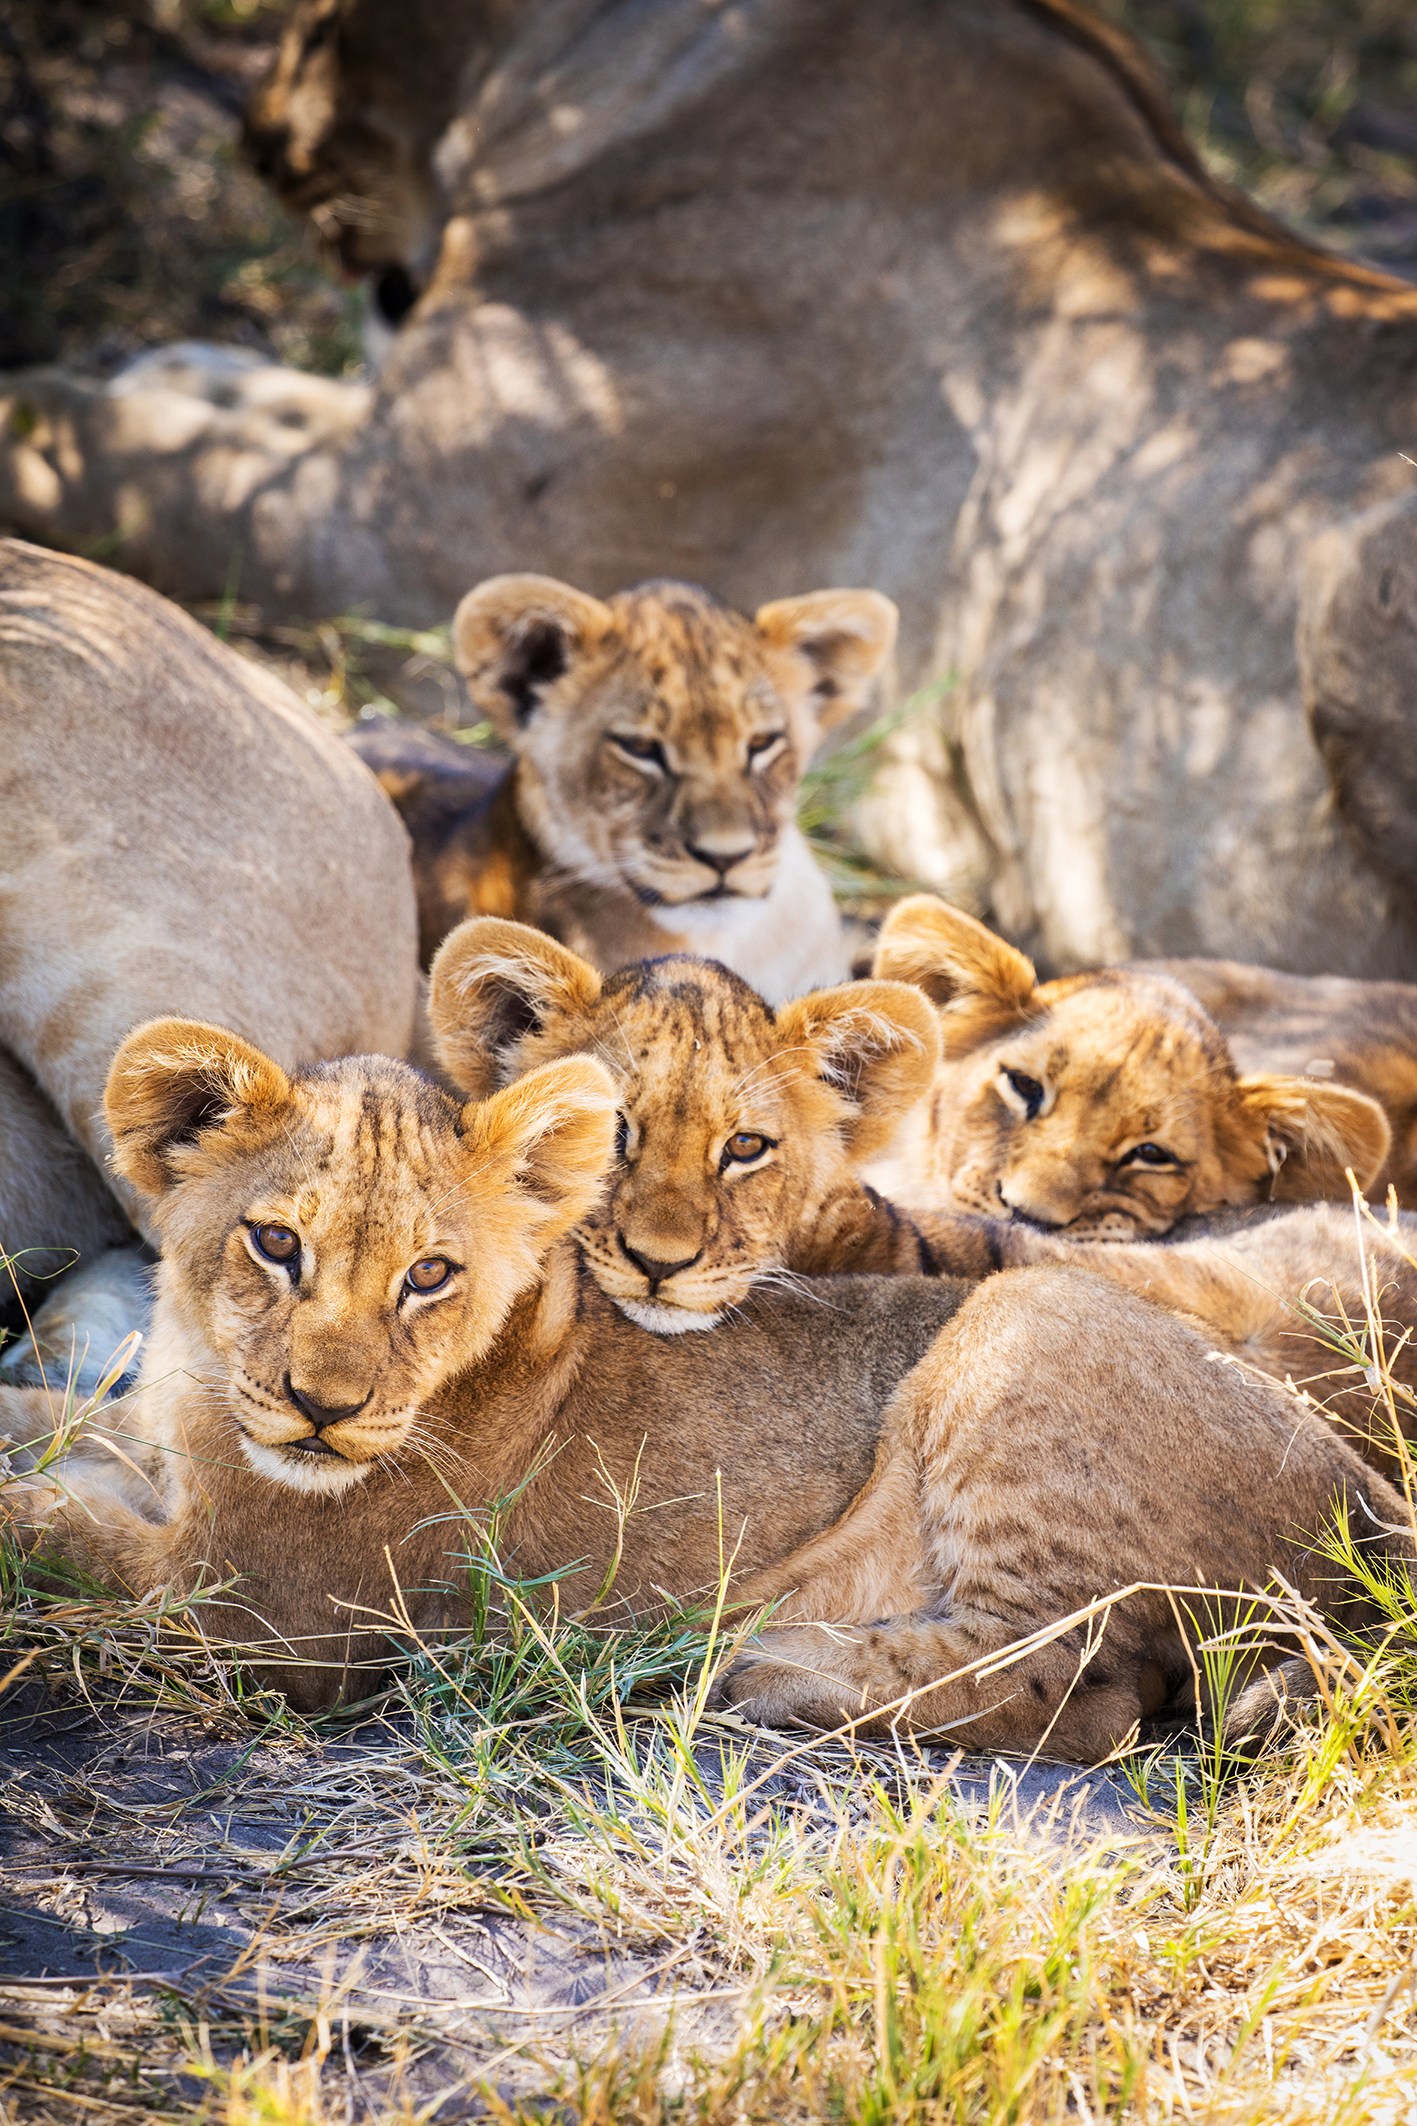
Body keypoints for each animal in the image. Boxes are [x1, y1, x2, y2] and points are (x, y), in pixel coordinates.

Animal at [5, 1005, 1407, 1759]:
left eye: (430, 1274)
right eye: (274, 1242)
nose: (323, 1407)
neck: (207, 1380)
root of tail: (1368, 1501)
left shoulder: (256, 1615)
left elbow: (49, 1531)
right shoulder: (162, 1447)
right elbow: (58, 1431)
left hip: (1021, 1317)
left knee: (1080, 1688)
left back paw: (767, 1664)